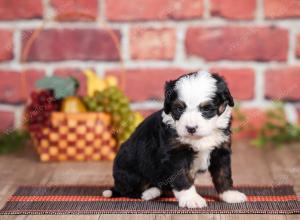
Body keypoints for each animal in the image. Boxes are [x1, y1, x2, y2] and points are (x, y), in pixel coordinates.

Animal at [102, 70, 247, 208]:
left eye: (207, 109)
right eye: (178, 109)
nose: (191, 128)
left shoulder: (221, 150)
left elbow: (223, 174)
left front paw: (230, 194)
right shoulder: (175, 154)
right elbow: (182, 178)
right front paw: (191, 199)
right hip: (130, 171)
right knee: (129, 190)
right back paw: (150, 192)